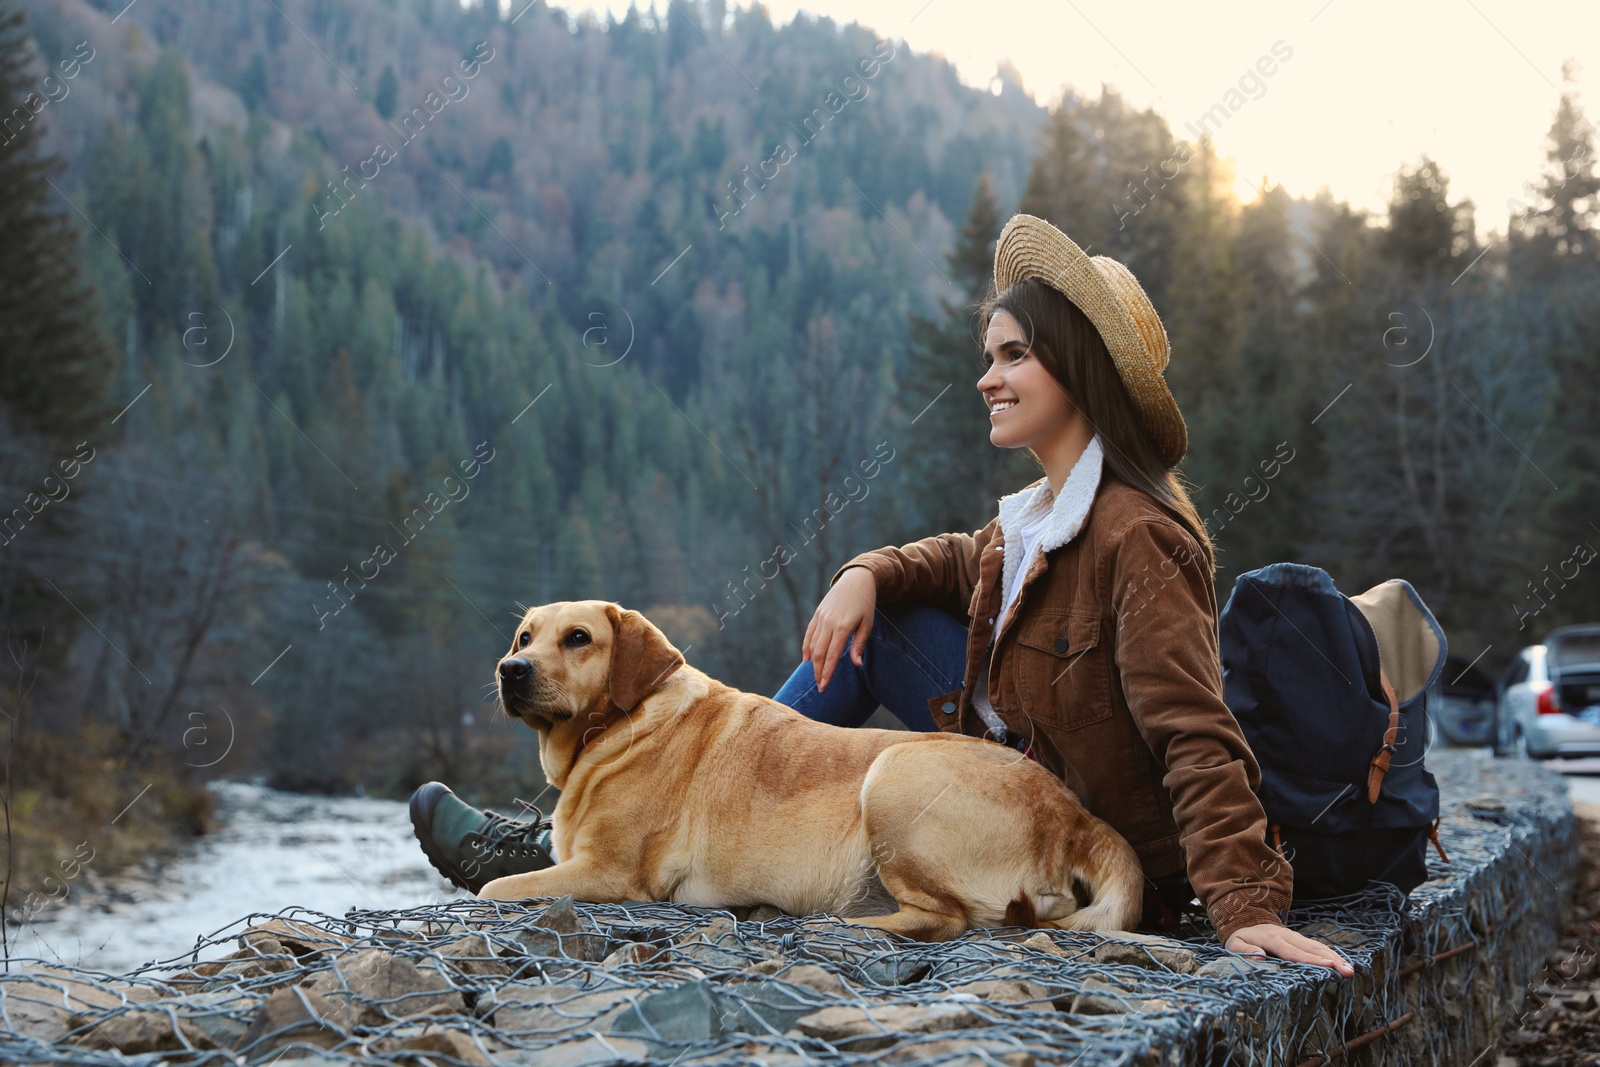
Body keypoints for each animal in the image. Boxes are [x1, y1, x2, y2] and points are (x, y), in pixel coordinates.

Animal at [480, 601, 1145, 940]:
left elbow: (493, 889)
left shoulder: (608, 872)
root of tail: (1074, 815)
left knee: (947, 919)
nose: (510, 669)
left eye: (578, 638)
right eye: (524, 636)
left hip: (895, 777)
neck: (612, 728)